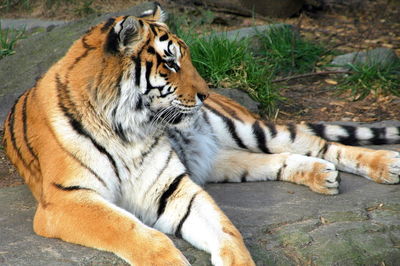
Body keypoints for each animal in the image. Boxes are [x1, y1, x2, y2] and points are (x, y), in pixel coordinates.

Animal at [3, 2, 400, 266]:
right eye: (170, 62)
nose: (206, 93)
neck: (127, 127)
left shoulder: (170, 187)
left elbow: (226, 230)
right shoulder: (66, 199)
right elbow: (134, 232)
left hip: (246, 128)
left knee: (316, 141)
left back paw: (386, 165)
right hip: (219, 160)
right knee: (277, 159)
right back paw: (321, 175)